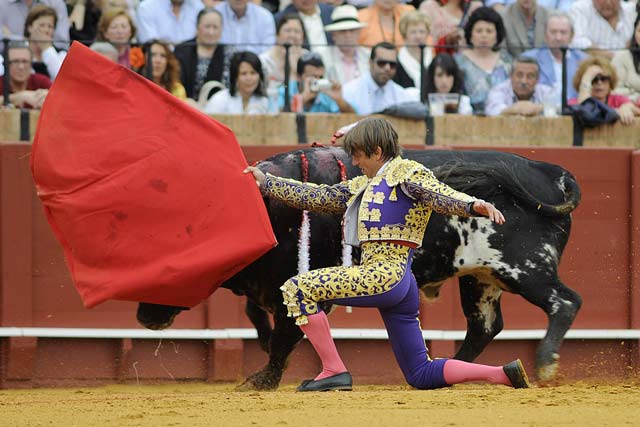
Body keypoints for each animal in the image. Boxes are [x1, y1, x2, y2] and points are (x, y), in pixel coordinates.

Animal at [138, 147, 584, 392]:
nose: (144, 316)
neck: (271, 213)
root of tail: (553, 172)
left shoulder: (295, 288)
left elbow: (284, 336)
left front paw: (262, 380)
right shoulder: (265, 286)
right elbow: (256, 316)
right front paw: (262, 352)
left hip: (524, 268)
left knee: (565, 301)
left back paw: (545, 362)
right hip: (480, 278)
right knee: (485, 326)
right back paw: (456, 366)